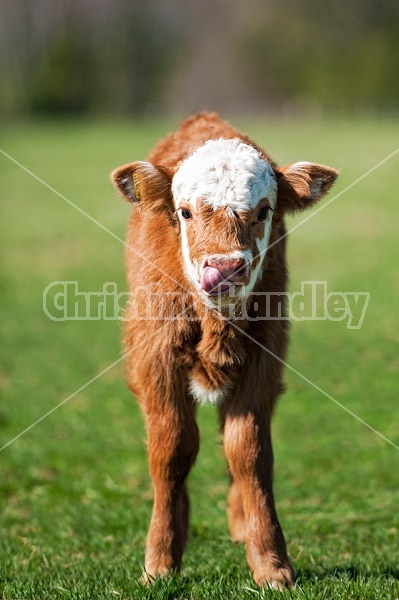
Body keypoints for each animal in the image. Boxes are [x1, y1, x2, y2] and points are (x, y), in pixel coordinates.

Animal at [111, 111, 340, 584]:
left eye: (263, 211)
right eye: (184, 212)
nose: (225, 267)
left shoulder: (264, 354)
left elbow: (248, 451)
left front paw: (270, 561)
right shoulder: (155, 355)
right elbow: (172, 447)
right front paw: (161, 559)